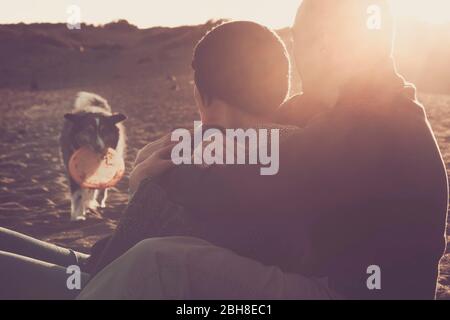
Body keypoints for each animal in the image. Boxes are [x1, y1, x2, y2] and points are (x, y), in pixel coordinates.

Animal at [59, 92, 126, 221]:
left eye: (104, 131)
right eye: (88, 131)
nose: (99, 147)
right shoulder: (73, 170)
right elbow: (78, 195)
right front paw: (78, 215)